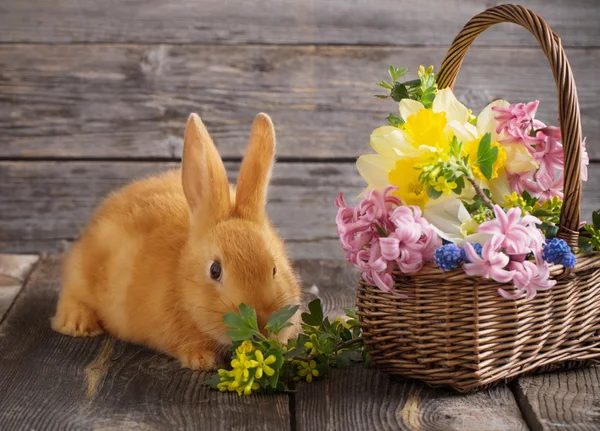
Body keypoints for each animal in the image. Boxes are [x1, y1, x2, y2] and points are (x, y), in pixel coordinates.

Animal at [52, 113, 300, 370]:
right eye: (215, 270)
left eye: (274, 269)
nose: (261, 325)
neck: (181, 280)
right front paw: (202, 360)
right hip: (81, 271)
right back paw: (78, 324)